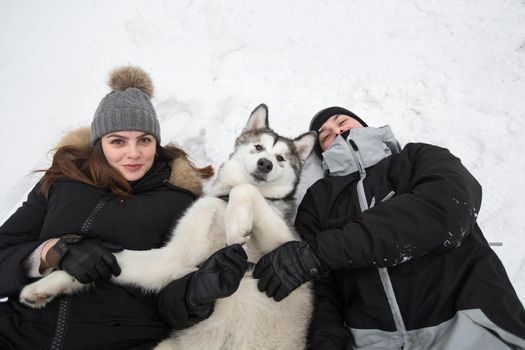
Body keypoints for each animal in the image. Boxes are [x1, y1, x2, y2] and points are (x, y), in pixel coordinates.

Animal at [20, 104, 316, 350]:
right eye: (258, 148)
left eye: (281, 158)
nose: (265, 164)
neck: (224, 203)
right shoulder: (173, 258)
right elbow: (114, 261)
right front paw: (45, 286)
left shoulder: (283, 246)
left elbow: (244, 191)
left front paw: (237, 222)